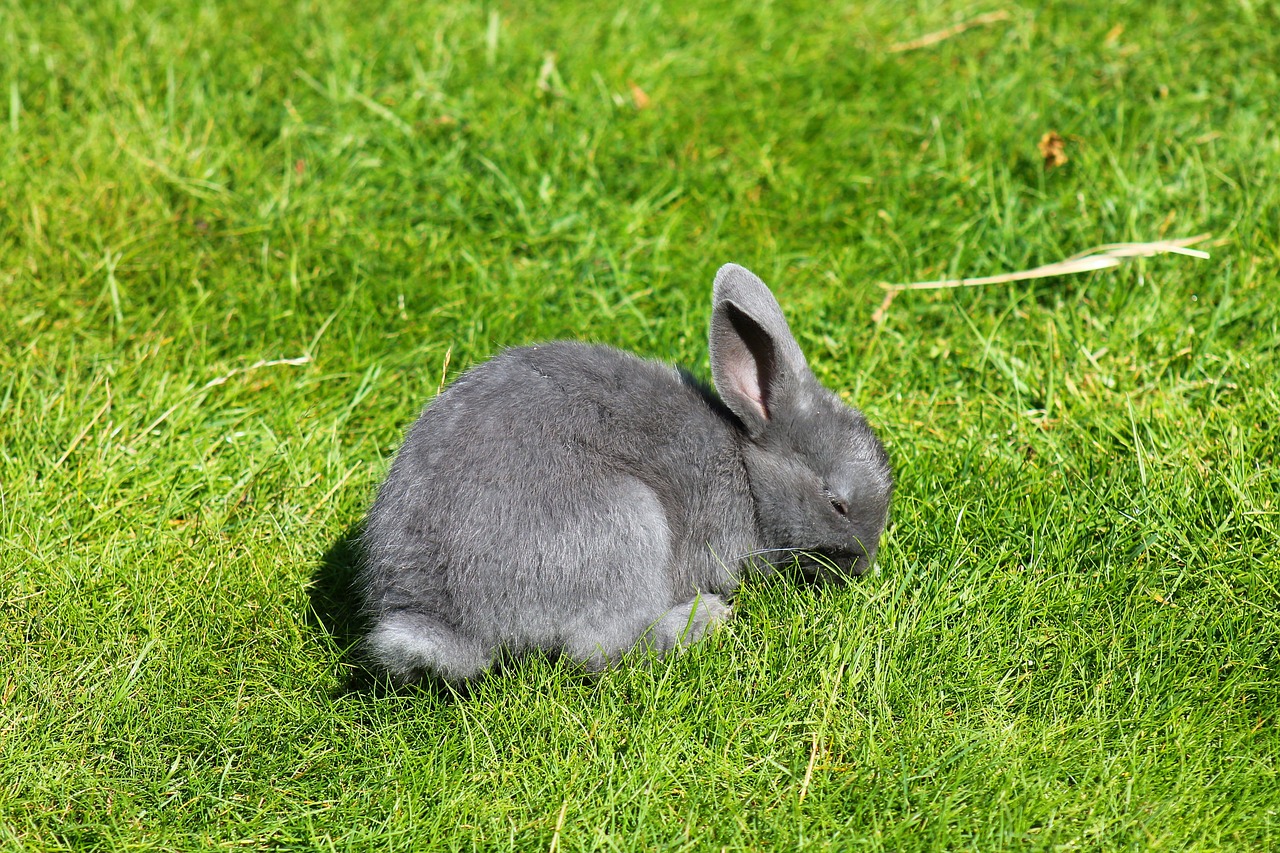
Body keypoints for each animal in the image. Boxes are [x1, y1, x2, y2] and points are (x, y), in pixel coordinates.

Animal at [358, 262, 890, 681]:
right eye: (838, 504)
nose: (864, 566)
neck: (748, 471)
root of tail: (443, 616)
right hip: (628, 522)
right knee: (600, 647)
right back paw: (704, 618)